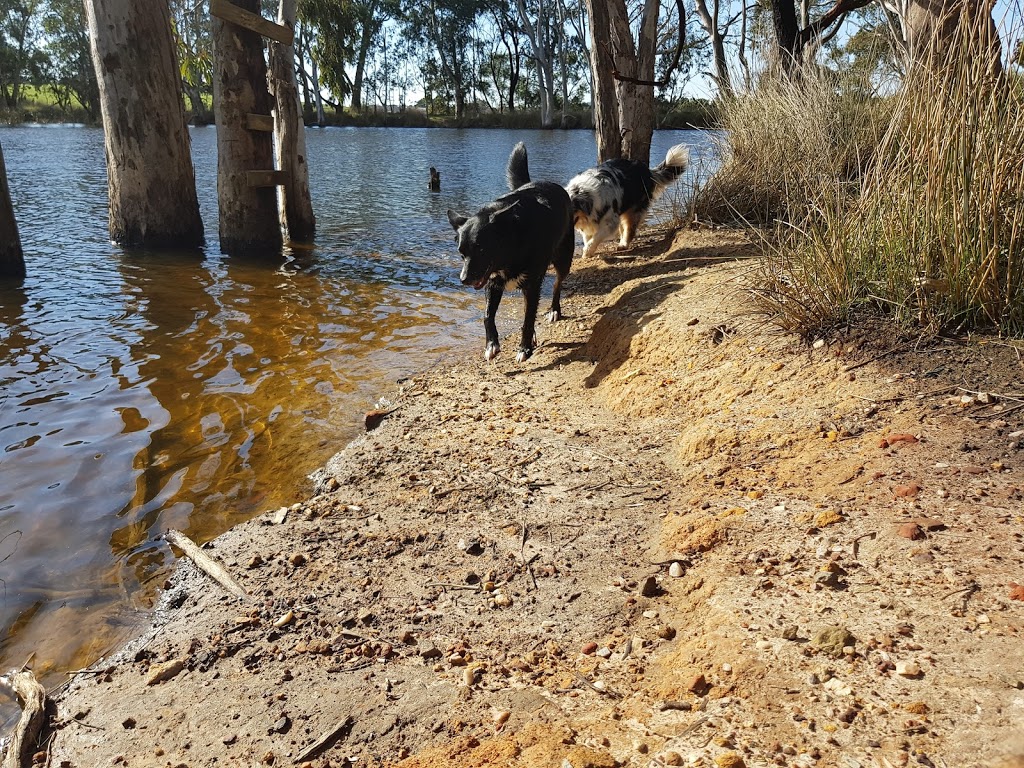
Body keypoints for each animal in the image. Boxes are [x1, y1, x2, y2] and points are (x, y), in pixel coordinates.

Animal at [448, 142, 577, 364]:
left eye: (481, 249)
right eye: (461, 253)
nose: (464, 280)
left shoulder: (532, 285)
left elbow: (528, 318)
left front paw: (524, 348)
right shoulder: (492, 283)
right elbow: (487, 316)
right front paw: (491, 345)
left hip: (563, 259)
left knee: (557, 284)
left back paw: (554, 310)